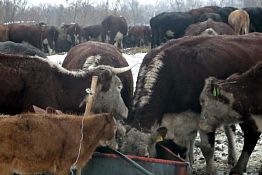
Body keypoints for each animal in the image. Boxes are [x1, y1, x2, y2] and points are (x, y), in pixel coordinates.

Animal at [126, 32, 262, 174]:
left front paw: (210, 171)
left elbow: (206, 149)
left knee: (252, 134)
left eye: (146, 156)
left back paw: (238, 167)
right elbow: (185, 147)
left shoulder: (205, 119)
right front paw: (189, 166)